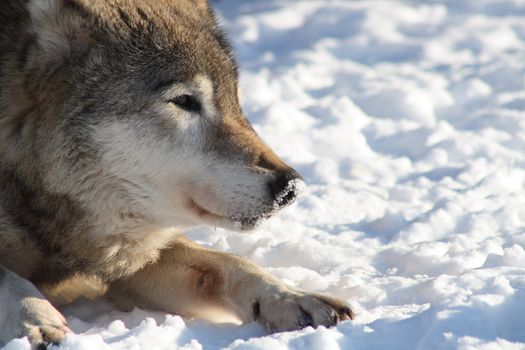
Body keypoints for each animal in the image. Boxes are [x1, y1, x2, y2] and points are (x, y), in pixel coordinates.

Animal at [0, 0, 352, 348]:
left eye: (234, 100)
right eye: (184, 101)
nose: (290, 188)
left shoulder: (131, 254)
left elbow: (229, 263)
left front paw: (292, 296)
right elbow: (9, 278)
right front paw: (38, 322)